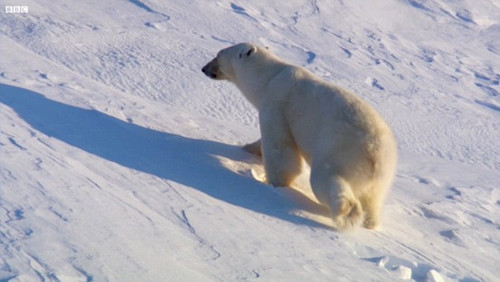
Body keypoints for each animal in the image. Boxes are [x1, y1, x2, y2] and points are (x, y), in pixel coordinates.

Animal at [201, 43, 396, 230]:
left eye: (218, 55)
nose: (204, 68)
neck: (270, 77)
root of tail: (375, 155)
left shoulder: (276, 103)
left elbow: (279, 147)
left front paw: (275, 183)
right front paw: (248, 147)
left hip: (339, 153)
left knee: (324, 180)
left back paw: (347, 212)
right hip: (382, 178)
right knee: (373, 199)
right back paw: (369, 222)